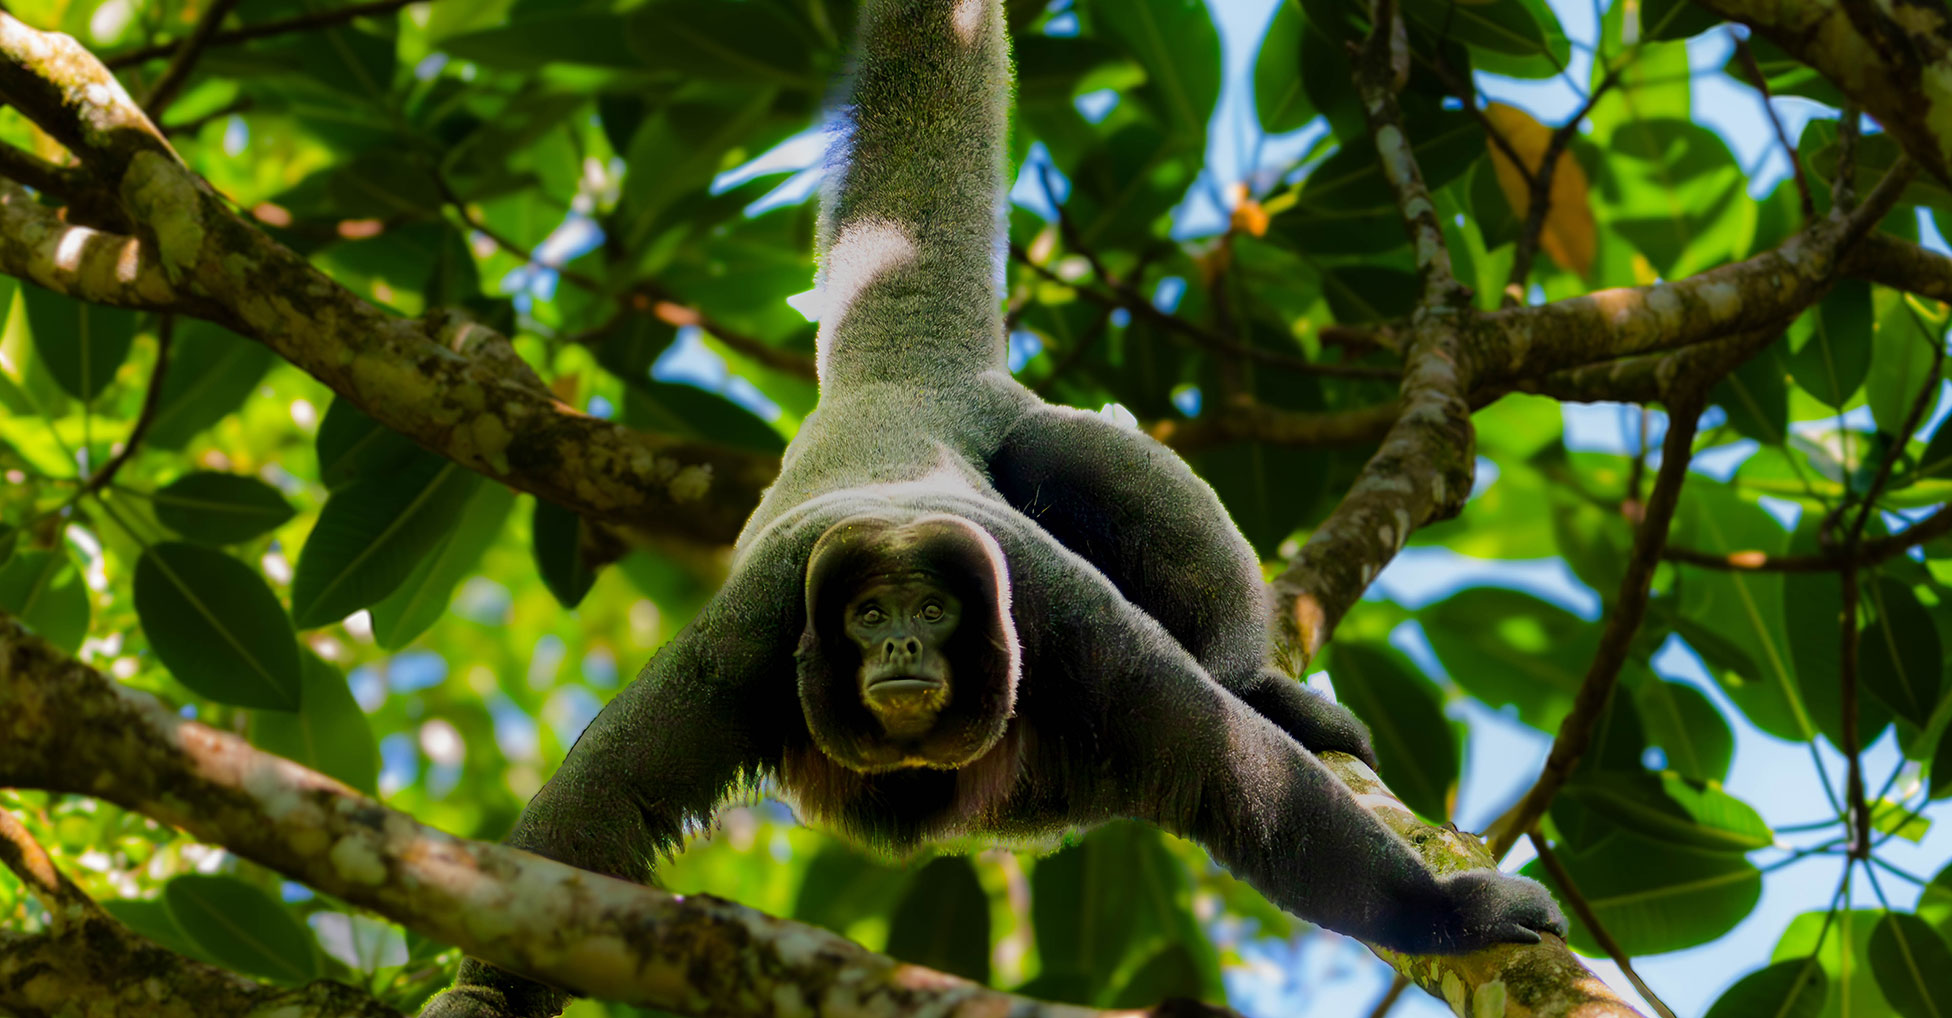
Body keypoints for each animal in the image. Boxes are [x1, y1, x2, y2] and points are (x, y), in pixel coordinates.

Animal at [424, 2, 1564, 1014]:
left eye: (929, 610)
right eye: (863, 617)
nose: (898, 649)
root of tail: (902, 385)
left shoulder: (1069, 622)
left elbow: (1244, 787)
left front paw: (1449, 914)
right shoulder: (744, 642)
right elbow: (593, 819)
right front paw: (485, 992)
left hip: (1027, 434)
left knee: (1067, 459)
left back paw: (1252, 679)